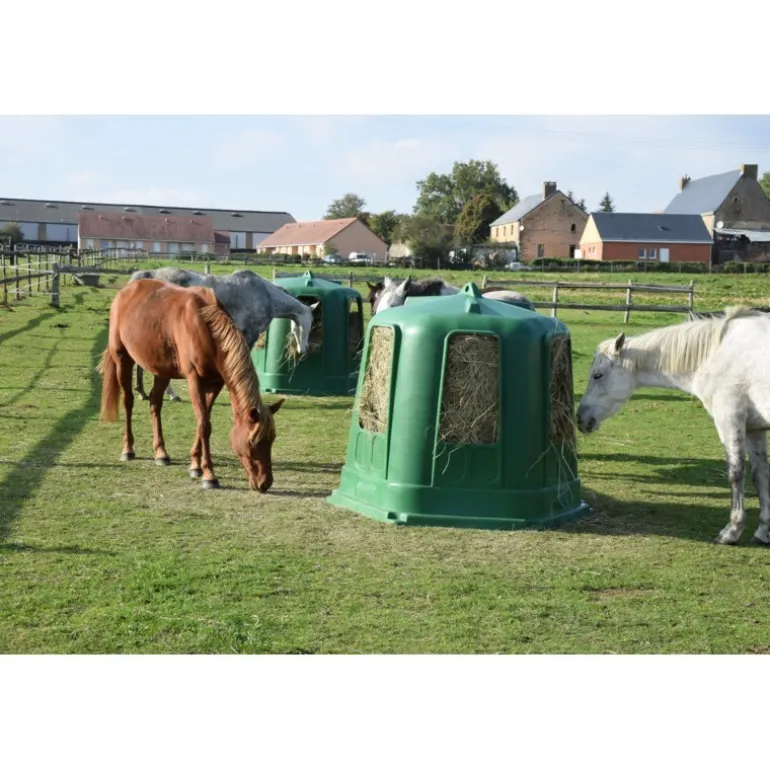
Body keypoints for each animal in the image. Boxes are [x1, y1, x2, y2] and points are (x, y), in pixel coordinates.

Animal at [98, 278, 284, 492]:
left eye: (272, 439)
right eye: (253, 441)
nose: (265, 483)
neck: (206, 326)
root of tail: (125, 291)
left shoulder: (215, 384)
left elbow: (203, 422)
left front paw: (195, 466)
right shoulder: (194, 380)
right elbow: (204, 425)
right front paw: (209, 475)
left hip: (162, 370)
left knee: (155, 403)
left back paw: (161, 453)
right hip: (123, 359)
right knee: (128, 402)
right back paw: (128, 450)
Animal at [128, 268, 317, 402]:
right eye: (310, 323)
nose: (303, 349)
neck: (265, 294)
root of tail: (147, 276)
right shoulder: (249, 334)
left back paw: (142, 392)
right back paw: (170, 394)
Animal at [576, 306, 770, 546]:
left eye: (598, 375)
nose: (580, 419)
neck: (716, 353)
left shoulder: (730, 419)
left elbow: (735, 473)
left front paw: (731, 531)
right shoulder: (754, 429)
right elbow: (760, 475)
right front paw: (762, 531)